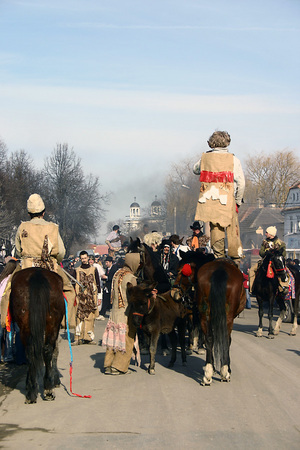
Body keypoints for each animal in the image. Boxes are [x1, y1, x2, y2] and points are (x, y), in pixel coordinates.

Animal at [9, 268, 64, 404]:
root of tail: (37, 274)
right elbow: (55, 351)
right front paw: (55, 380)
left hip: (26, 326)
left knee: (31, 351)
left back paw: (32, 392)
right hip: (52, 324)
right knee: (46, 350)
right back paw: (47, 389)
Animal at [175, 253, 245, 386]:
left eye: (180, 271)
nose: (175, 290)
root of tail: (220, 270)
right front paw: (226, 368)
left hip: (205, 313)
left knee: (210, 338)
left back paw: (208, 373)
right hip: (227, 316)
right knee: (225, 338)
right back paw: (223, 371)